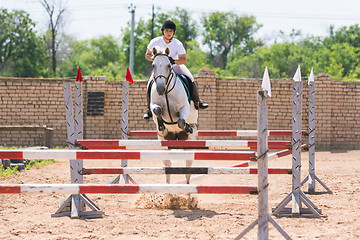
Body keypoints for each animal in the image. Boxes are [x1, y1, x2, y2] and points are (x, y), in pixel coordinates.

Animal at [150, 47, 200, 185]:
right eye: (153, 65)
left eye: (169, 65)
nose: (160, 89)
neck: (167, 91)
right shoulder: (153, 105)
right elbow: (157, 110)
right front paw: (162, 128)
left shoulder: (184, 108)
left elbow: (181, 121)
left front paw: (188, 127)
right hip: (165, 144)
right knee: (168, 164)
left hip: (190, 143)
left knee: (188, 166)